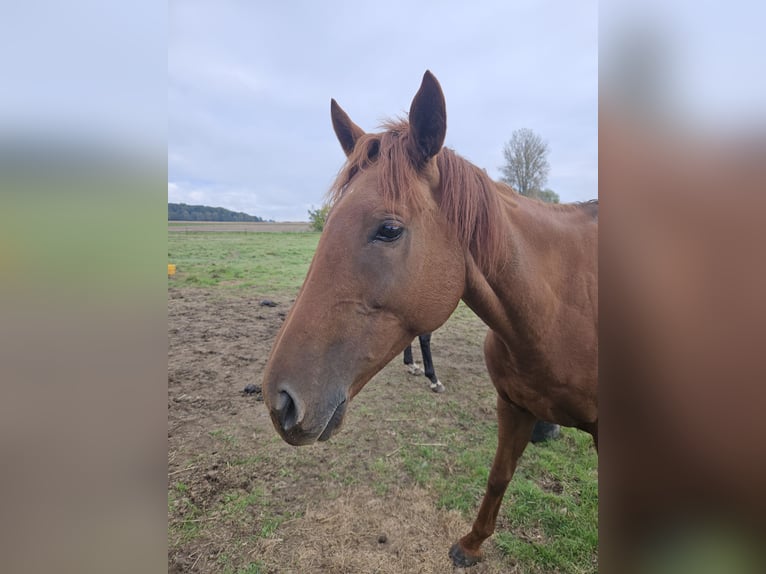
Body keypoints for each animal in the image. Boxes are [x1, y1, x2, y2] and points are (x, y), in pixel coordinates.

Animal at [264, 71, 600, 568]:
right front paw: (471, 544)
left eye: (389, 229)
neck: (559, 310)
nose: (280, 401)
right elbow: (499, 476)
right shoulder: (512, 407)